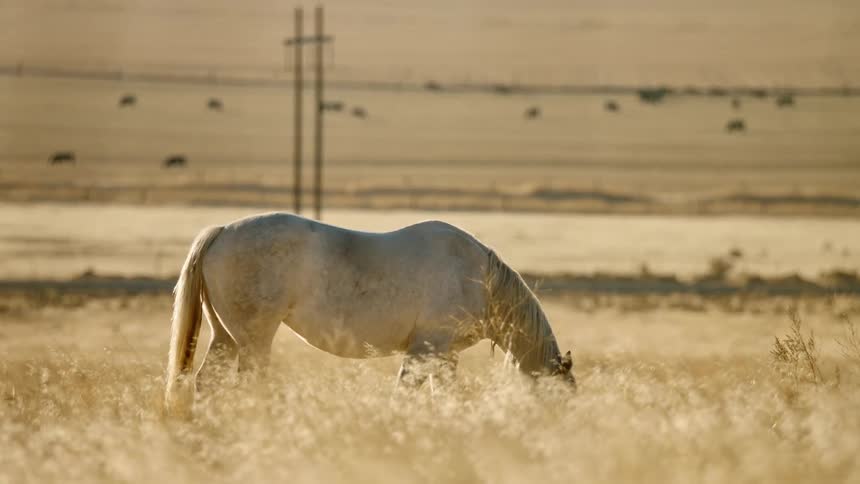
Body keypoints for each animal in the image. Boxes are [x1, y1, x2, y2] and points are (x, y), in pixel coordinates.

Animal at [164, 213, 575, 412]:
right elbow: (406, 395)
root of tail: (222, 232)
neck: (478, 277)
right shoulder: (424, 352)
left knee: (206, 382)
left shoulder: (444, 357)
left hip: (226, 337)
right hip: (253, 342)